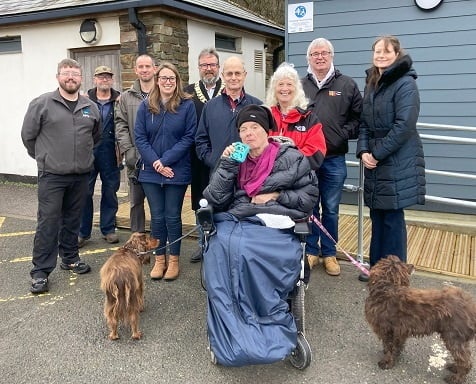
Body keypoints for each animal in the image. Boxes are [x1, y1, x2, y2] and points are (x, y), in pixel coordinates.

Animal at [364, 255, 476, 384]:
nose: (412, 265)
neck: (386, 290)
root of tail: (470, 306)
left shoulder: (387, 330)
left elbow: (389, 347)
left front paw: (386, 362)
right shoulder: (400, 331)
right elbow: (396, 346)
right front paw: (396, 355)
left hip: (453, 337)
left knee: (465, 361)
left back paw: (456, 378)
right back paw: (455, 368)